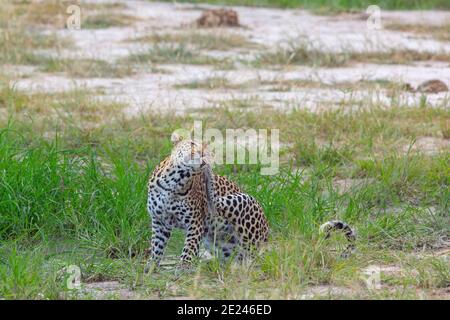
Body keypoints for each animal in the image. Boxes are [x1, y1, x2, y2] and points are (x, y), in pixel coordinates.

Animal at [146, 132, 356, 270]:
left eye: (207, 147)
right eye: (191, 143)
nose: (204, 154)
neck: (174, 181)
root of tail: (266, 241)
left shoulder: (195, 222)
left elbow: (189, 247)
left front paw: (182, 268)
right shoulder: (159, 221)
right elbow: (157, 246)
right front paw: (150, 267)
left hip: (241, 202)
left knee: (247, 252)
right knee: (236, 258)